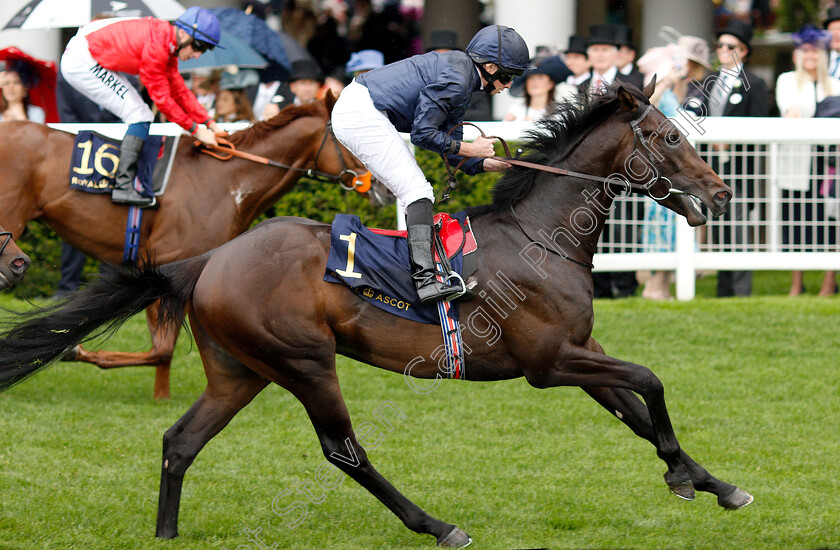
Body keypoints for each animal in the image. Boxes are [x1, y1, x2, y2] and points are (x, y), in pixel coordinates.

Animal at [0, 92, 368, 398]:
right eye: (351, 135)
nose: (374, 184)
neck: (228, 182)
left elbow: (162, 352)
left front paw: (161, 396)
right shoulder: (168, 261)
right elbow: (160, 349)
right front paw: (74, 349)